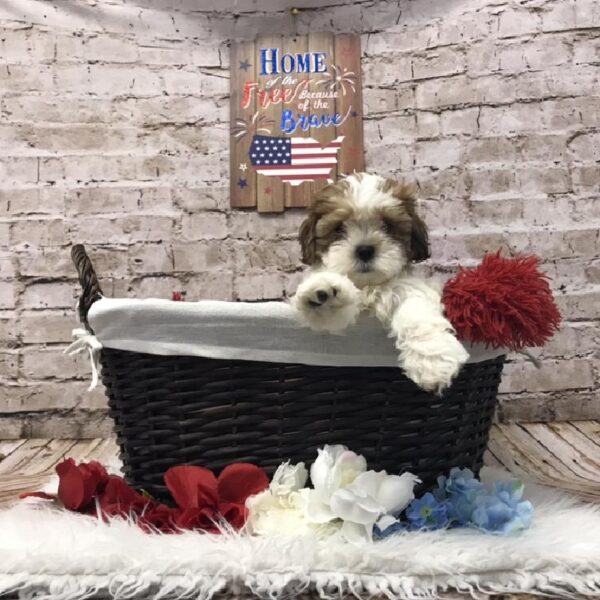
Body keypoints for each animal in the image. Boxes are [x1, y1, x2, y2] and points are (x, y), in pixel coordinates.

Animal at [290, 172, 468, 394]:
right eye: (338, 228)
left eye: (388, 226)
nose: (365, 249)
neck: (369, 285)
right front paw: (323, 292)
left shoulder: (409, 288)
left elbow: (417, 312)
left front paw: (433, 362)